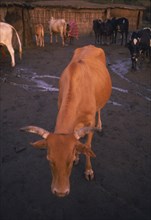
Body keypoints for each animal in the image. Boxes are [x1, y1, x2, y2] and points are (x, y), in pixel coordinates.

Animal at [20, 45, 112, 198]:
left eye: (70, 161)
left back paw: (100, 124)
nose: (60, 192)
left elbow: (87, 145)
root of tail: (91, 46)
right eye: (50, 160)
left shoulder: (89, 122)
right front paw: (79, 155)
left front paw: (88, 170)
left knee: (100, 109)